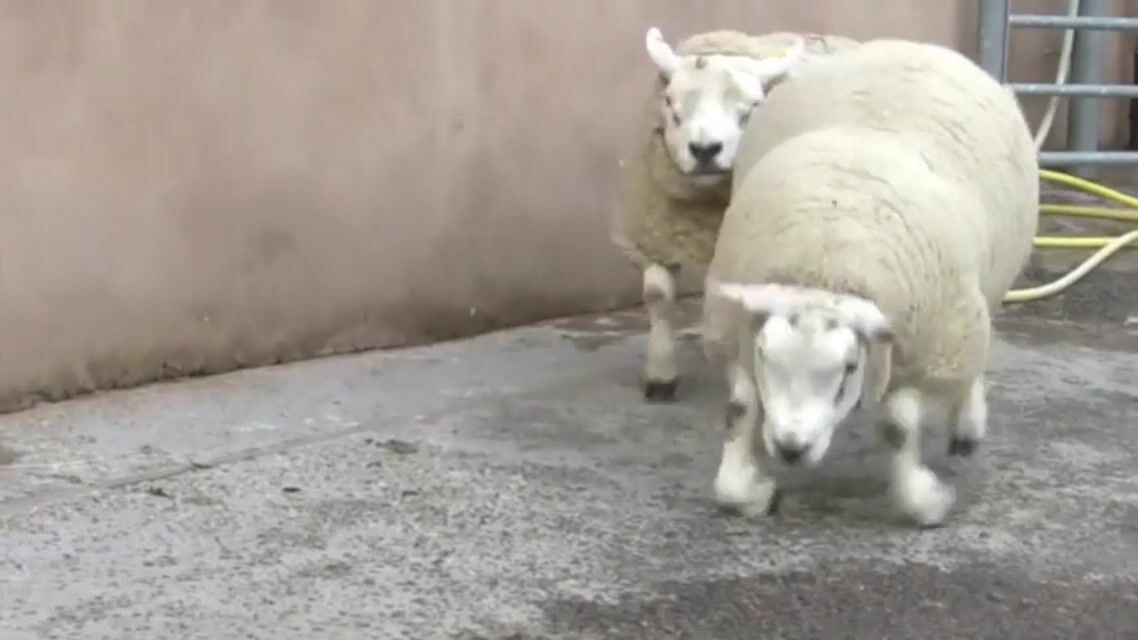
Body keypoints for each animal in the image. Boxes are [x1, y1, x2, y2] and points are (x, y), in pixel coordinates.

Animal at [610, 26, 861, 402]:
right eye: (670, 102)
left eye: (753, 106)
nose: (705, 150)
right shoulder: (655, 234)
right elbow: (658, 298)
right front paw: (660, 377)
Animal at [700, 38, 1040, 527]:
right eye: (765, 355)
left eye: (847, 369)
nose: (790, 449)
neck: (824, 262)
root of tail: (912, 45)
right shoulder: (737, 335)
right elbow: (740, 410)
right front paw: (751, 492)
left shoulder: (925, 348)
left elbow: (898, 427)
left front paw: (926, 501)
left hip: (975, 301)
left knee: (974, 356)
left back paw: (967, 425)